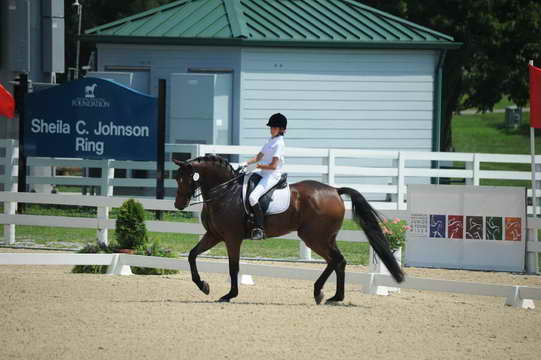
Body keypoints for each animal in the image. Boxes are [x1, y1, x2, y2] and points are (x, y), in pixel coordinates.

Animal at [171, 155, 402, 304]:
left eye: (185, 178)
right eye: (176, 178)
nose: (178, 205)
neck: (225, 191)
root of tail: (335, 190)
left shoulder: (231, 238)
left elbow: (233, 267)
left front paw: (229, 295)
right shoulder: (214, 235)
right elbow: (192, 255)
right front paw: (203, 286)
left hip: (314, 238)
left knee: (335, 260)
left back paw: (320, 292)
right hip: (325, 238)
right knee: (339, 261)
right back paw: (334, 297)